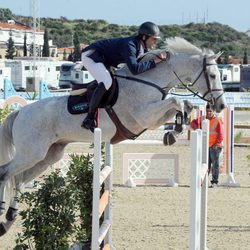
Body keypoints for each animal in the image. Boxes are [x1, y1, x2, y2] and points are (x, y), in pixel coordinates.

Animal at [0, 36, 227, 234]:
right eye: (213, 76)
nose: (221, 106)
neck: (148, 81)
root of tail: (20, 112)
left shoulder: (153, 118)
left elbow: (183, 104)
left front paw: (175, 130)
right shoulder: (144, 116)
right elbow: (176, 101)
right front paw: (175, 129)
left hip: (48, 155)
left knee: (19, 180)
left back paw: (9, 218)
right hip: (32, 153)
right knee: (6, 172)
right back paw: (3, 210)